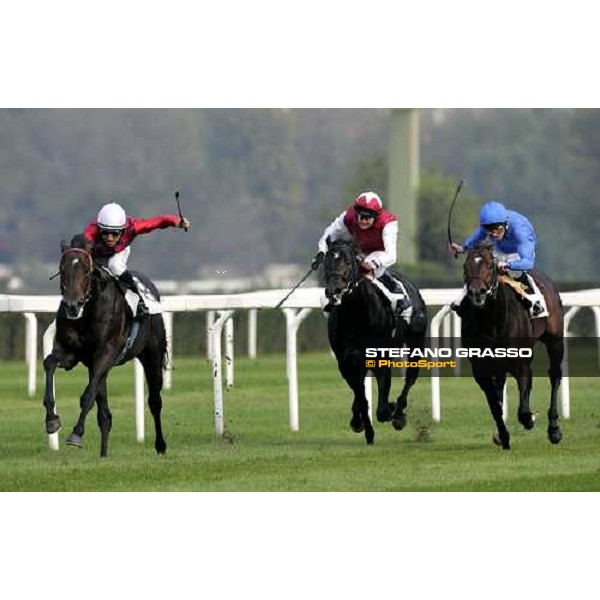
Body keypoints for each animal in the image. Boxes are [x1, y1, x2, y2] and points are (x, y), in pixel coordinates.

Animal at [42, 232, 166, 458]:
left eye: (86, 270)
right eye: (62, 270)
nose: (72, 305)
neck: (87, 313)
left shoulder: (105, 354)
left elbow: (87, 396)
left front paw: (76, 434)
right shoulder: (70, 354)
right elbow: (49, 363)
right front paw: (52, 420)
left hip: (152, 356)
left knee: (154, 401)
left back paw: (160, 445)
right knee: (105, 414)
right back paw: (103, 453)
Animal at [324, 237, 426, 442]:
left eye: (348, 261)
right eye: (326, 261)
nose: (333, 290)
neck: (355, 313)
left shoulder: (381, 356)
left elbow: (382, 407)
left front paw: (392, 410)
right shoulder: (346, 361)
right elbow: (361, 397)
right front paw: (363, 426)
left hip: (415, 343)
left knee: (411, 377)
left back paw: (399, 412)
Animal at [462, 241, 564, 448]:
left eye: (490, 266)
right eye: (465, 267)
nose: (477, 293)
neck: (493, 323)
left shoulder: (522, 363)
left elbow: (524, 410)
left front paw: (531, 418)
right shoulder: (480, 369)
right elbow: (494, 405)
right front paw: (502, 435)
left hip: (555, 340)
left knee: (555, 375)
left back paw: (554, 429)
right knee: (501, 385)